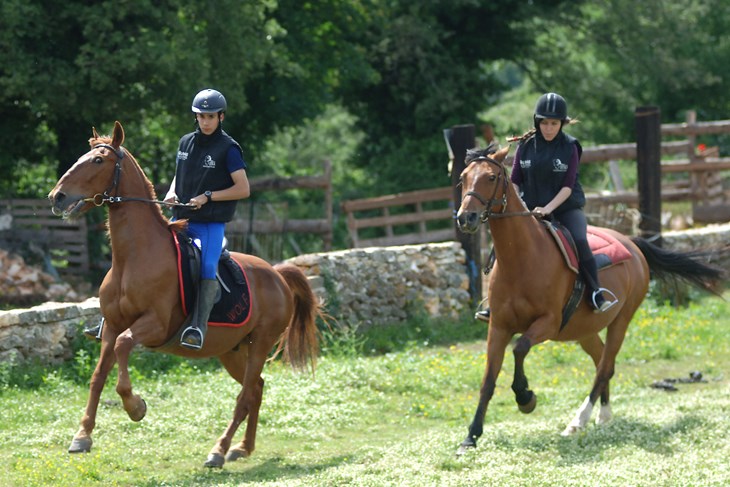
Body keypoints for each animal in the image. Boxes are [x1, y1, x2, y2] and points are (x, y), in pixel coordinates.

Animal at [45, 120, 318, 468]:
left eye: (97, 161)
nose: (57, 197)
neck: (133, 258)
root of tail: (277, 275)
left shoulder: (155, 325)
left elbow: (123, 348)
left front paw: (136, 407)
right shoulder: (113, 326)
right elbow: (98, 376)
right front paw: (82, 436)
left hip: (260, 343)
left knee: (245, 395)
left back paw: (218, 450)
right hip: (232, 350)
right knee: (256, 387)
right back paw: (242, 448)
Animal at [456, 143, 724, 456]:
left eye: (490, 177)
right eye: (462, 178)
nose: (465, 218)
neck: (521, 259)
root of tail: (633, 243)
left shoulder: (547, 323)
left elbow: (520, 349)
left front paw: (526, 398)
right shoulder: (498, 327)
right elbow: (488, 381)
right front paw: (471, 436)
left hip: (621, 321)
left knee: (605, 367)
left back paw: (579, 419)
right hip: (585, 331)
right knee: (602, 362)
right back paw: (603, 414)